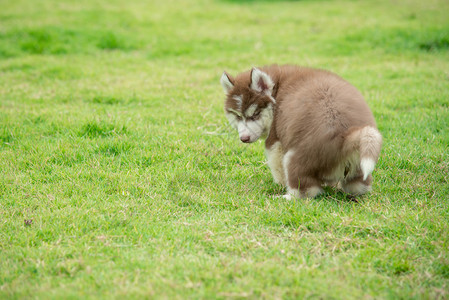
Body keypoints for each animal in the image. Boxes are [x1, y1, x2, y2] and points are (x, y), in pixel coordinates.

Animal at [220, 65, 382, 199]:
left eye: (255, 114)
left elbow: (276, 166)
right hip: (357, 166)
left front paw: (280, 184)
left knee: (307, 190)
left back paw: (285, 197)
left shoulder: (275, 140)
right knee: (358, 186)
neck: (277, 90)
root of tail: (345, 136)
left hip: (295, 158)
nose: (244, 138)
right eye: (238, 116)